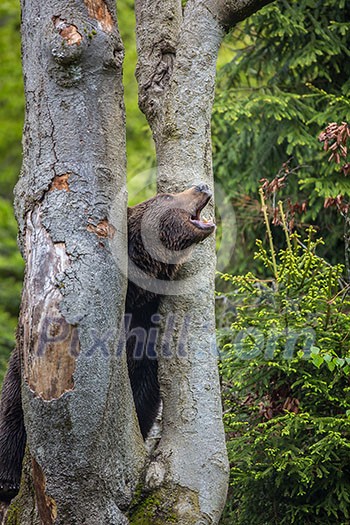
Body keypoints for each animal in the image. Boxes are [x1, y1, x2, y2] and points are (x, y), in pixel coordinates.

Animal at [0, 183, 213, 500]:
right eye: (166, 196)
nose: (202, 186)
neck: (135, 293)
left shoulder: (146, 329)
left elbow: (144, 394)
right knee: (12, 411)